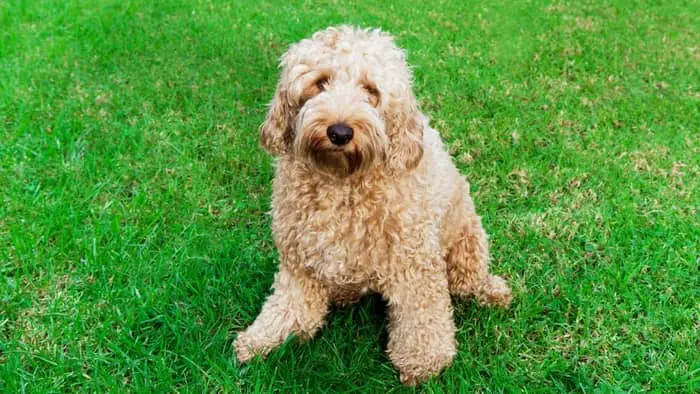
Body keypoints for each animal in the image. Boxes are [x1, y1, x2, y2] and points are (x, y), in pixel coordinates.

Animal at [232, 26, 512, 386]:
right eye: (320, 82)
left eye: (371, 90)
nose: (339, 132)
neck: (342, 181)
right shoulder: (299, 261)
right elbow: (291, 307)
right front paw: (263, 339)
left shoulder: (414, 263)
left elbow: (421, 317)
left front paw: (423, 362)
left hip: (467, 245)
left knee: (470, 281)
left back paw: (492, 291)